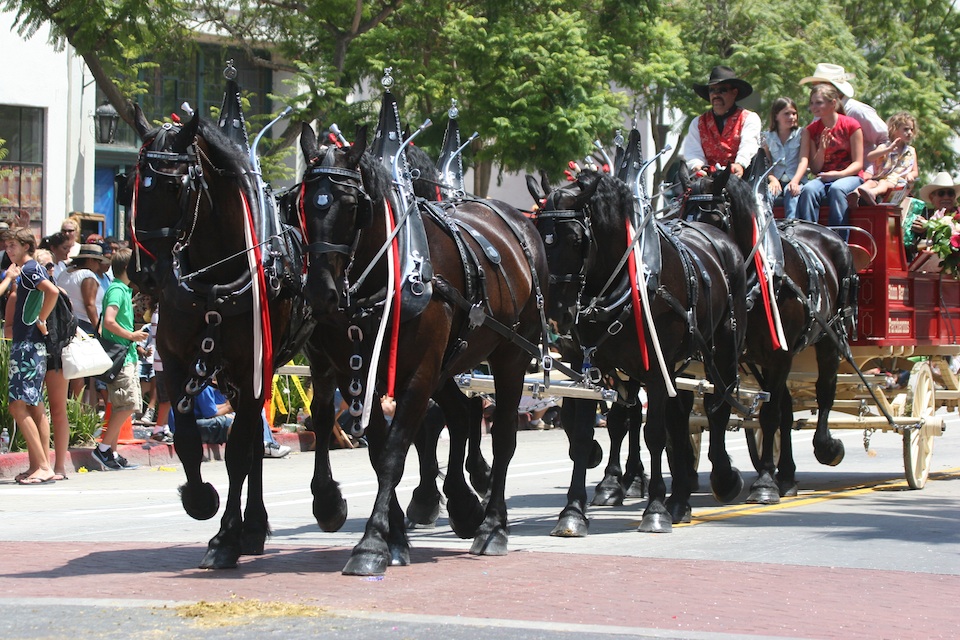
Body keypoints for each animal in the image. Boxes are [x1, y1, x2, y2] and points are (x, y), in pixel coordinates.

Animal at [125, 107, 348, 569]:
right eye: (136, 182)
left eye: (176, 184)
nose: (145, 273)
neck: (214, 277)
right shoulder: (177, 363)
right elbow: (191, 442)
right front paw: (201, 500)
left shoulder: (251, 365)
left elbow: (235, 453)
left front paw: (225, 536)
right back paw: (255, 527)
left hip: (319, 353)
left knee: (318, 418)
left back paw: (324, 503)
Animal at [297, 121, 551, 574]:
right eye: (305, 204)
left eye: (351, 205)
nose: (321, 294)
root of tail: (519, 224)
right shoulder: (356, 372)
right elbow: (378, 448)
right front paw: (392, 534)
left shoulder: (417, 374)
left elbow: (394, 452)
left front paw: (371, 545)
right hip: (448, 363)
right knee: (461, 413)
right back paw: (463, 505)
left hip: (511, 355)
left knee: (503, 435)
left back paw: (493, 527)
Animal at [535, 169, 747, 533]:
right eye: (538, 233)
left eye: (576, 240)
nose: (554, 315)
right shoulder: (589, 367)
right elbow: (583, 434)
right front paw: (573, 511)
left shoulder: (655, 367)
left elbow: (654, 434)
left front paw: (655, 509)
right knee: (679, 419)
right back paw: (680, 499)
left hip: (722, 347)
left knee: (717, 406)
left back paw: (722, 479)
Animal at [679, 166, 857, 501]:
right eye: (682, 214)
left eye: (714, 218)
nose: (696, 259)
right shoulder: (723, 354)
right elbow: (718, 408)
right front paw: (727, 477)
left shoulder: (779, 354)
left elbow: (769, 415)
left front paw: (763, 483)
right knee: (787, 408)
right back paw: (786, 475)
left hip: (830, 338)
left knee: (824, 392)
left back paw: (825, 448)